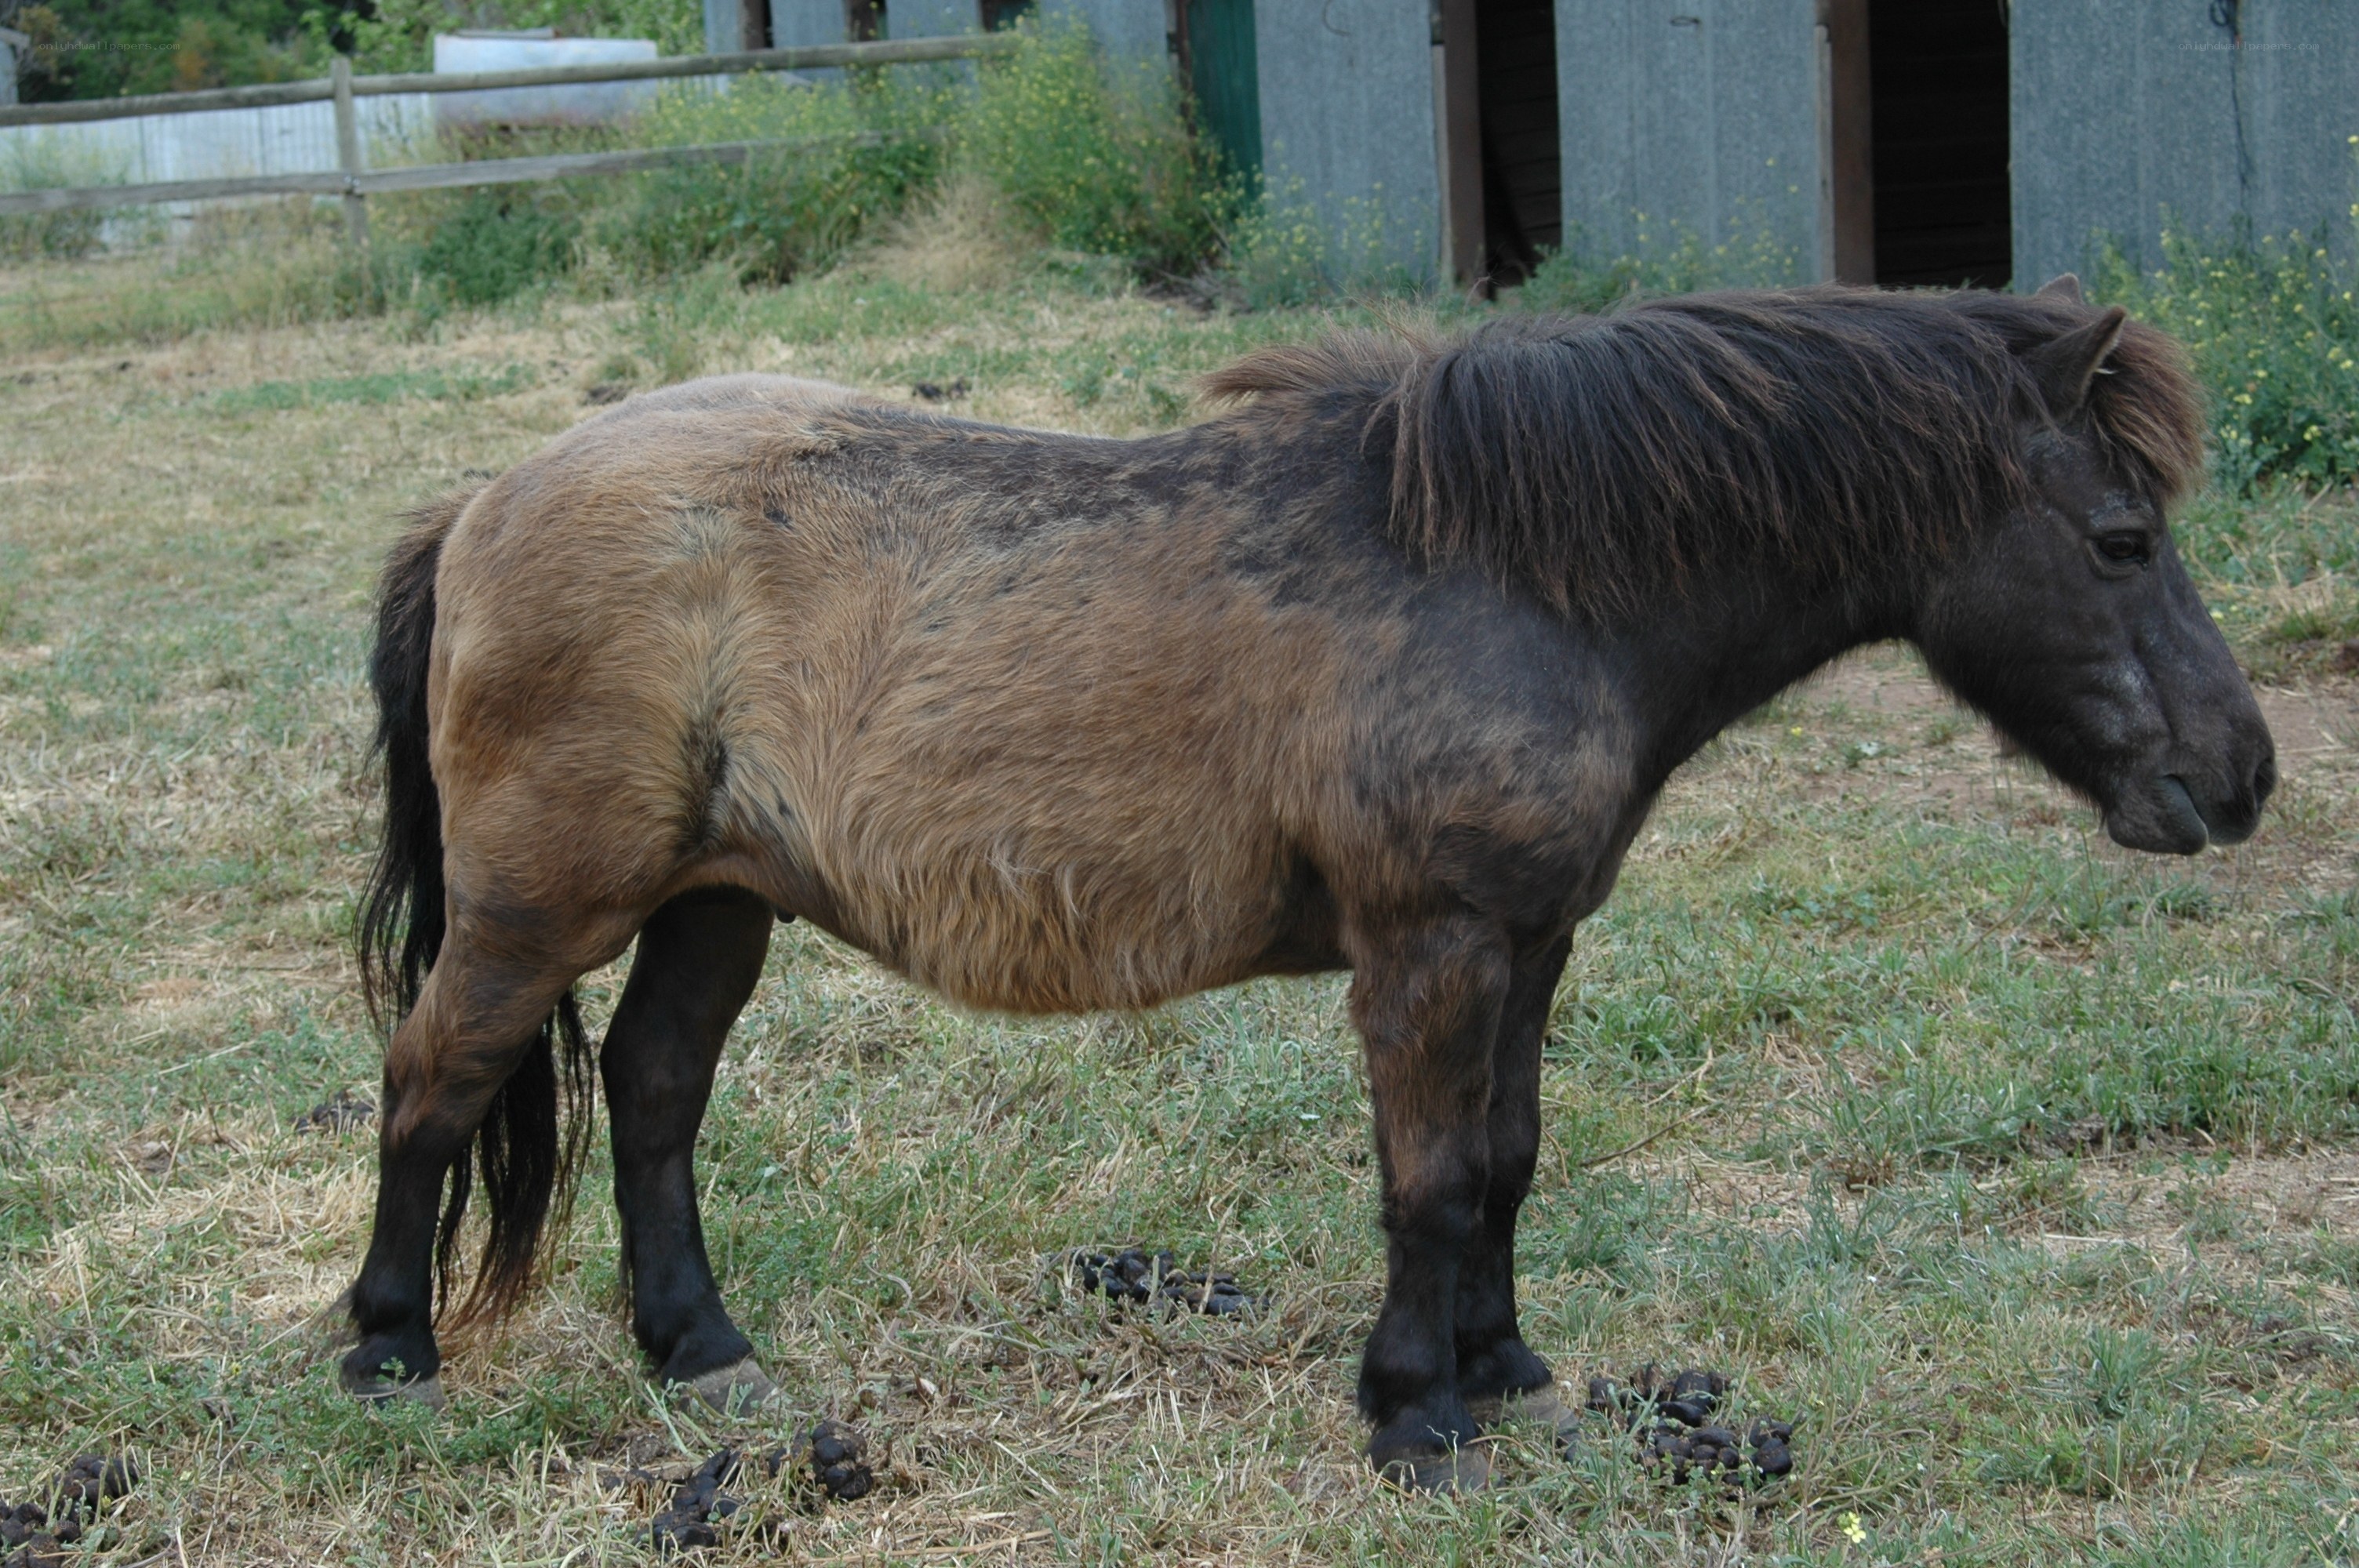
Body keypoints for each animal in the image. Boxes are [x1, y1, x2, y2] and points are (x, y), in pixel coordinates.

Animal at [338, 275, 2273, 1492]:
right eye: (2123, 538)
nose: (2238, 777)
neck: (1515, 573)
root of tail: (482, 501)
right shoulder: (1429, 947)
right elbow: (1428, 1181)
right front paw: (1413, 1416)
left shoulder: (1528, 944)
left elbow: (1503, 1165)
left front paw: (1506, 1376)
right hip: (538, 908)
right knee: (433, 1083)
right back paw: (384, 1357)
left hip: (714, 899)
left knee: (655, 1090)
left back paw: (701, 1350)